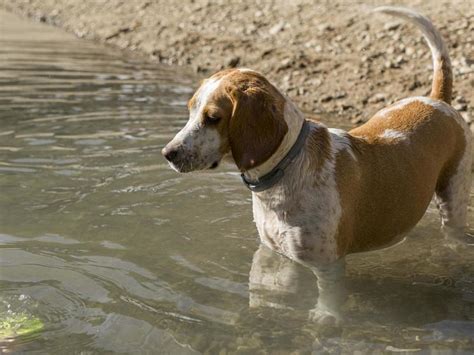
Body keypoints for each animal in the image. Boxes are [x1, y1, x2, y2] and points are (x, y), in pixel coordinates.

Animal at [162, 6, 470, 322]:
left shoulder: (328, 265)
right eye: (190, 110)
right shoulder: (272, 252)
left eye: (213, 118)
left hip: (454, 199)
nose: (167, 153)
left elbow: (328, 299)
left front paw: (325, 319)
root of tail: (436, 100)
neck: (284, 171)